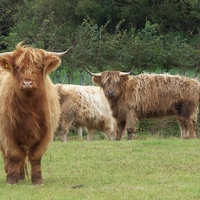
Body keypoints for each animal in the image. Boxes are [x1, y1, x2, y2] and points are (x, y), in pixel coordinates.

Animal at [0, 42, 72, 184]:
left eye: (39, 66)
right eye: (17, 67)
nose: (27, 83)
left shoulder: (46, 132)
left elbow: (36, 156)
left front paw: (37, 180)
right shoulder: (6, 132)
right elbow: (13, 154)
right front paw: (12, 180)